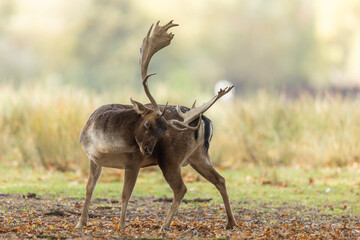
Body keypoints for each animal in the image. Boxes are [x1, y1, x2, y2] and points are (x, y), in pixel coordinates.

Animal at [75, 20, 236, 231]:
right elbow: (89, 188)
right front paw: (80, 223)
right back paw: (231, 223)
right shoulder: (93, 158)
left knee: (181, 188)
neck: (104, 145)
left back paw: (164, 225)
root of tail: (206, 122)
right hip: (198, 156)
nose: (148, 151)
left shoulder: (133, 161)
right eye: (147, 123)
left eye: (164, 131)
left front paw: (121, 226)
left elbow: (125, 194)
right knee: (220, 179)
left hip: (170, 158)